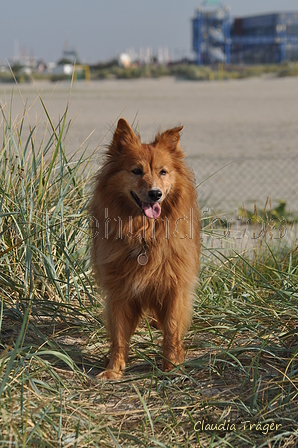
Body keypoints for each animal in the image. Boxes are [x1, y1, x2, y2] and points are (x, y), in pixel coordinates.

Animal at [88, 118, 200, 378]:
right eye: (136, 171)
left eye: (163, 172)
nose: (155, 194)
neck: (144, 235)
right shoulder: (119, 290)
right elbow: (119, 335)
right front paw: (113, 370)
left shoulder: (175, 285)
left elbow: (172, 329)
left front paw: (172, 366)